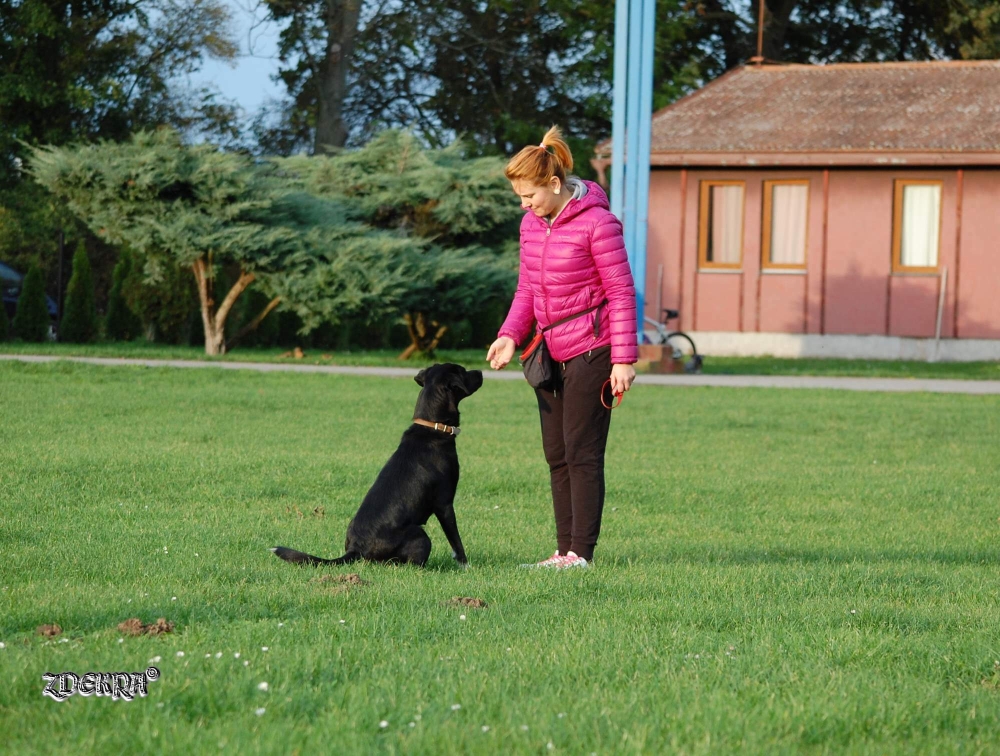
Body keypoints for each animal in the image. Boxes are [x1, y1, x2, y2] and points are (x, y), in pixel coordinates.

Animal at [270, 362, 480, 568]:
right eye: (463, 371)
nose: (479, 371)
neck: (432, 427)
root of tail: (355, 548)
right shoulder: (444, 503)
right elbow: (455, 539)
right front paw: (465, 565)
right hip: (420, 536)